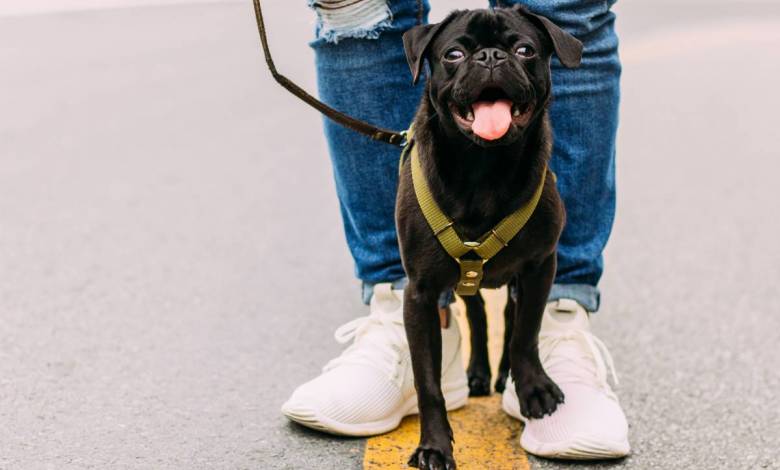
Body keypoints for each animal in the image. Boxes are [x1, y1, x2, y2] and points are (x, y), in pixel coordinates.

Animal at [400, 5, 580, 468]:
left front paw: (532, 388)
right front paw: (434, 446)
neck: (484, 167)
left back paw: (502, 376)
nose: (491, 57)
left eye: (525, 50)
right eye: (454, 54)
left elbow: (526, 334)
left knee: (509, 316)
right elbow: (428, 382)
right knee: (478, 313)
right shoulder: (420, 294)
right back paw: (479, 373)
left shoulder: (540, 266)